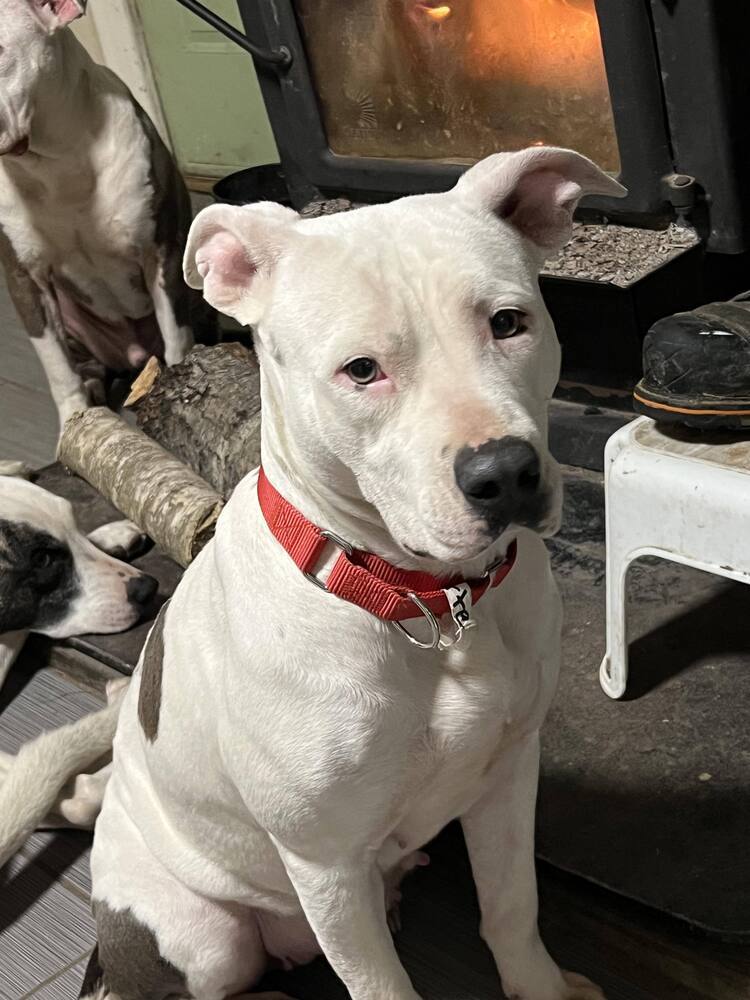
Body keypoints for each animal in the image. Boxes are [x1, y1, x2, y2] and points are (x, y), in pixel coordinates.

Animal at [76, 143, 624, 1000]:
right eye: (361, 370)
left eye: (508, 322)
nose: (505, 473)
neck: (422, 600)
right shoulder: (327, 866)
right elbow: (381, 986)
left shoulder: (507, 774)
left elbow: (512, 909)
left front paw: (544, 986)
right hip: (204, 933)